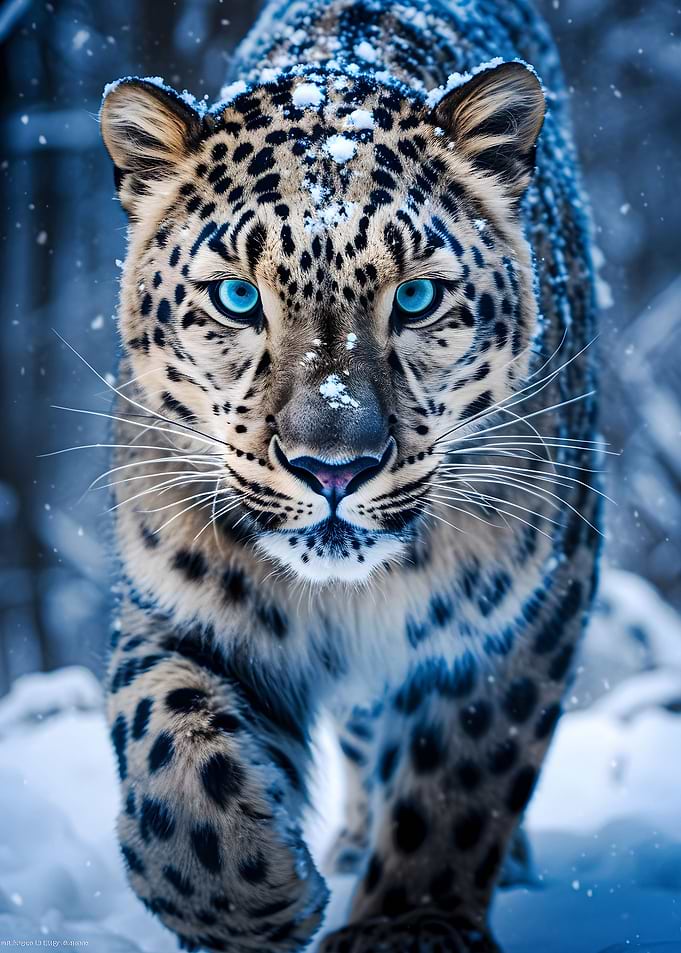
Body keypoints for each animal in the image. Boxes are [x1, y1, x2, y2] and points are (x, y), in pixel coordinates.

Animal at [99, 0, 602, 950]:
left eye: (415, 299)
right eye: (237, 298)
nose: (333, 467)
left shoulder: (524, 603)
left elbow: (460, 775)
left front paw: (410, 922)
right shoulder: (180, 598)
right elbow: (168, 746)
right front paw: (254, 901)